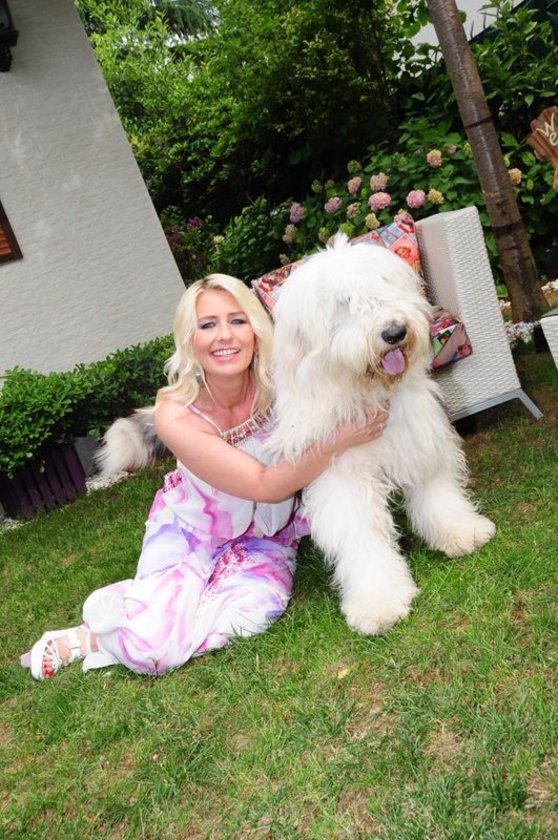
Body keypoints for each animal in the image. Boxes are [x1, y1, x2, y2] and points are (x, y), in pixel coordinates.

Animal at [266, 233, 495, 635]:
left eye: (384, 287)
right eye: (344, 303)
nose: (394, 332)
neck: (364, 391)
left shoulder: (417, 442)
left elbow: (438, 496)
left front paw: (461, 532)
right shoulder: (341, 478)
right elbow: (362, 537)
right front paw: (379, 603)